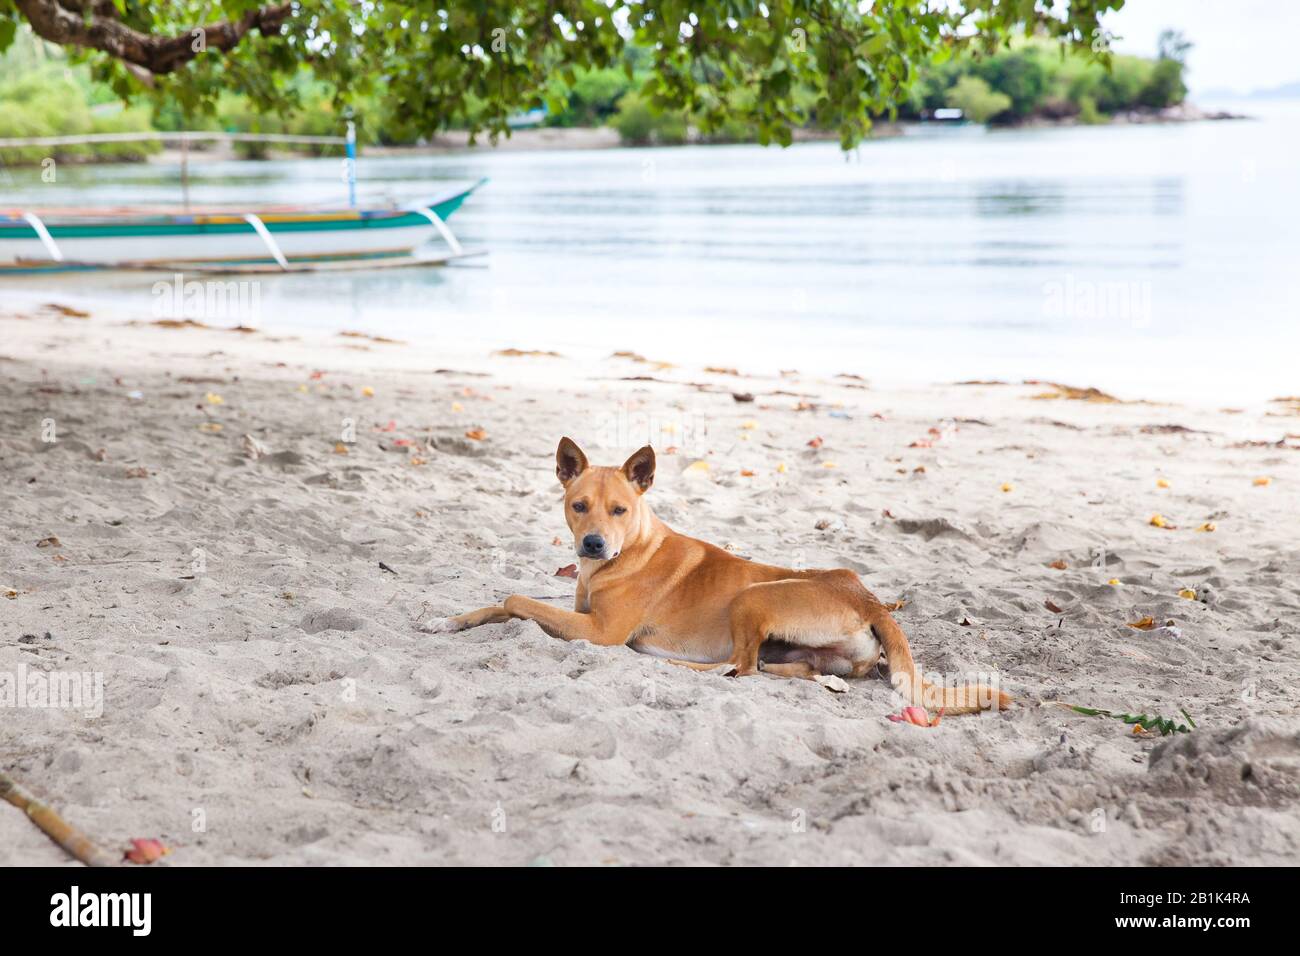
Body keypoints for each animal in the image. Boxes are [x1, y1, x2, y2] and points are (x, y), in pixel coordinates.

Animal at [431, 437, 1008, 712]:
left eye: (619, 510)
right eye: (578, 506)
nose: (592, 543)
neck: (625, 554)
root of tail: (865, 596)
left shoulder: (600, 631)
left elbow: (515, 599)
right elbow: (503, 602)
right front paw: (448, 621)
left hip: (752, 598)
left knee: (739, 665)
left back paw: (677, 667)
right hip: (804, 649)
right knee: (774, 669)